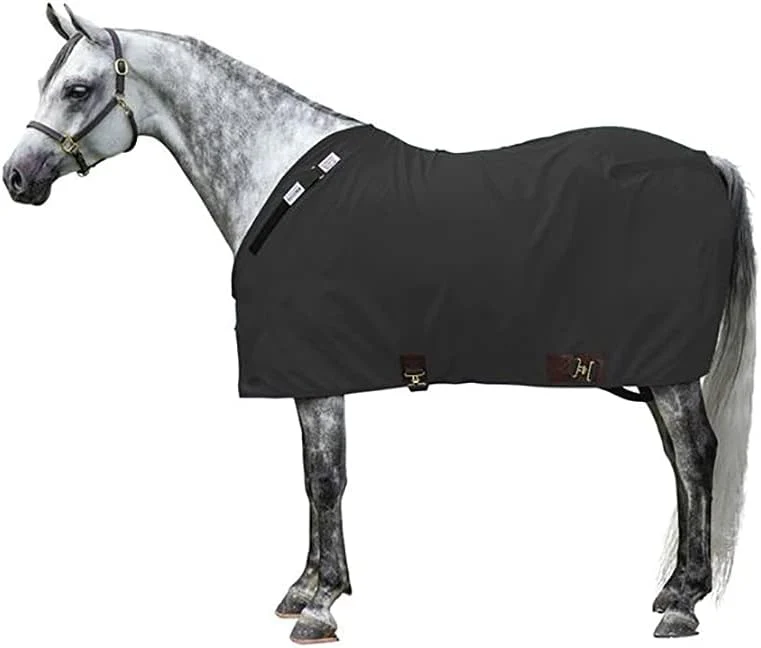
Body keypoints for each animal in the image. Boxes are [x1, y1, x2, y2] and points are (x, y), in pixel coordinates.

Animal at [3, 4, 755, 643]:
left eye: (76, 89)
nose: (16, 177)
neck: (283, 186)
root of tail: (705, 161)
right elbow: (312, 477)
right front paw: (307, 587)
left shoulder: (317, 372)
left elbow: (324, 478)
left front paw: (320, 604)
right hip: (651, 368)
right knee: (679, 459)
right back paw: (675, 589)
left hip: (666, 369)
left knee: (696, 455)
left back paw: (683, 602)